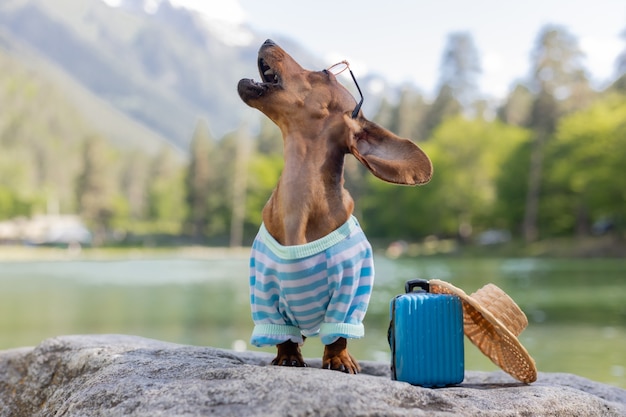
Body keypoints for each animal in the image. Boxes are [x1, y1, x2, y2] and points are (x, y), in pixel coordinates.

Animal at [236, 39, 432, 374]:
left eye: (324, 73)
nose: (268, 41)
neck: (300, 199)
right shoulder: (264, 291)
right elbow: (283, 336)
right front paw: (287, 355)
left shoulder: (351, 287)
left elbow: (339, 335)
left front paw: (339, 359)